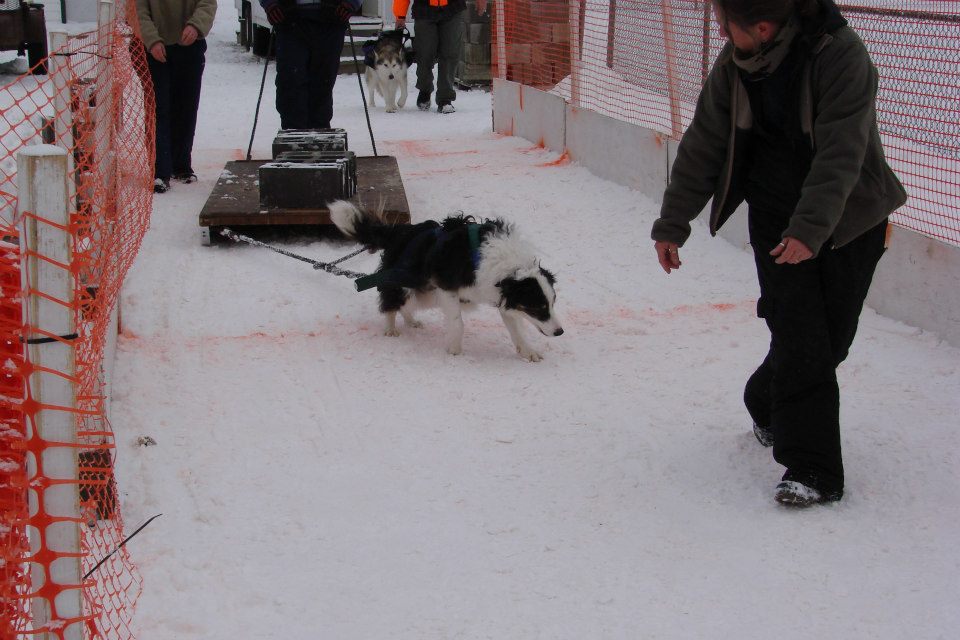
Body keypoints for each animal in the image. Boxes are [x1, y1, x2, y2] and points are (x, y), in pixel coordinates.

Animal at [330, 201, 564, 360]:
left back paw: (411, 321)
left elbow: (516, 329)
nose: (559, 332)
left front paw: (528, 351)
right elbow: (457, 323)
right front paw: (454, 350)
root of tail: (400, 231)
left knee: (406, 305)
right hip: (405, 282)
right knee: (391, 300)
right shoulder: (446, 287)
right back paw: (390, 327)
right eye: (538, 307)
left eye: (552, 304)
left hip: (424, 292)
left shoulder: (498, 293)